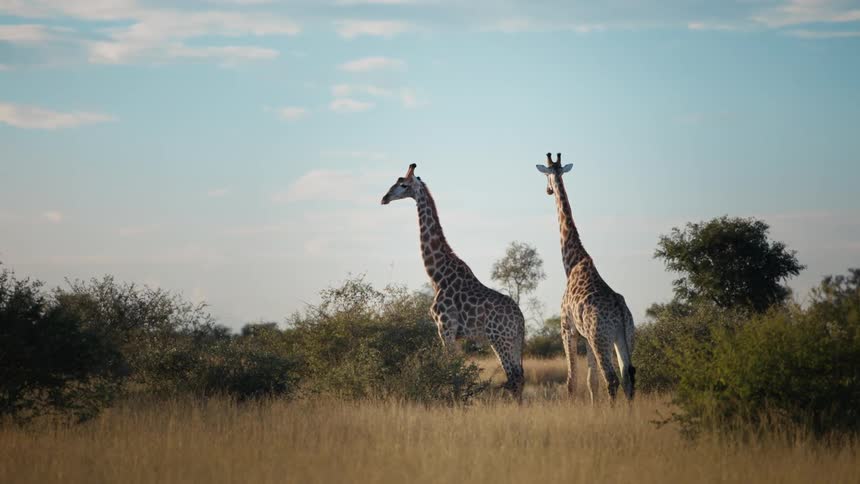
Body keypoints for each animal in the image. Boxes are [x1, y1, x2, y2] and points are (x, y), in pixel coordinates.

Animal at [381, 163, 526, 399]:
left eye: (403, 185)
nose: (384, 198)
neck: (437, 275)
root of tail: (521, 320)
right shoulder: (455, 334)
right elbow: (455, 370)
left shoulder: (445, 328)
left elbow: (452, 371)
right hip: (513, 341)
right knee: (519, 377)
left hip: (499, 339)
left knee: (513, 379)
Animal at [536, 153, 635, 403]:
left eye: (546, 175)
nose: (548, 190)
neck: (573, 262)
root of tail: (621, 312)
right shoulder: (586, 336)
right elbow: (592, 382)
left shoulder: (567, 328)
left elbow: (572, 381)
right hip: (624, 337)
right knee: (628, 377)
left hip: (602, 338)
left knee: (612, 379)